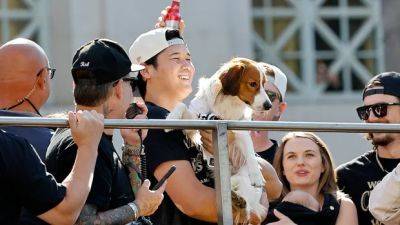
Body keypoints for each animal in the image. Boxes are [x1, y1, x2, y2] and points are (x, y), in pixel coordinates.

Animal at [166, 57, 272, 221]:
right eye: (253, 83)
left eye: (264, 84)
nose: (269, 105)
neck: (227, 101)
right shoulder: (195, 124)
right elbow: (181, 105)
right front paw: (171, 117)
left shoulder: (240, 130)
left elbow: (250, 153)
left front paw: (257, 176)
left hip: (243, 180)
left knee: (246, 207)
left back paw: (239, 200)